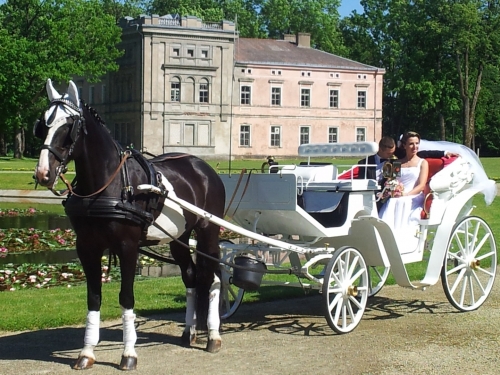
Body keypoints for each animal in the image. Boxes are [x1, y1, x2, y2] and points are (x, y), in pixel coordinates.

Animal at [33, 79, 225, 370]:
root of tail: (202, 166)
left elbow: (126, 297)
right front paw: (86, 352)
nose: (43, 173)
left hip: (208, 233)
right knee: (191, 276)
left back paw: (213, 335)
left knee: (212, 278)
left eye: (68, 126)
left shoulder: (128, 247)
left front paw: (128, 352)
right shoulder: (86, 247)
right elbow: (94, 297)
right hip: (178, 238)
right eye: (42, 125)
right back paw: (189, 331)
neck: (106, 185)